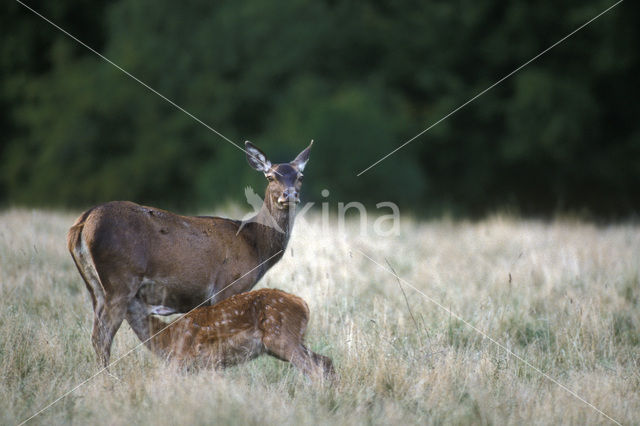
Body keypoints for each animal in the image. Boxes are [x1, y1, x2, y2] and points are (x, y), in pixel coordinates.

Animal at [67, 141, 312, 366]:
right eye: (270, 177)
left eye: (300, 176)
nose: (290, 194)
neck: (256, 245)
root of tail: (82, 223)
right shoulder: (228, 285)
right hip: (120, 280)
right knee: (103, 336)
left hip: (95, 287)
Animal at [142, 288, 336, 378]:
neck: (166, 335)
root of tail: (304, 305)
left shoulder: (185, 358)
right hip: (290, 342)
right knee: (325, 361)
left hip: (281, 339)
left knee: (314, 369)